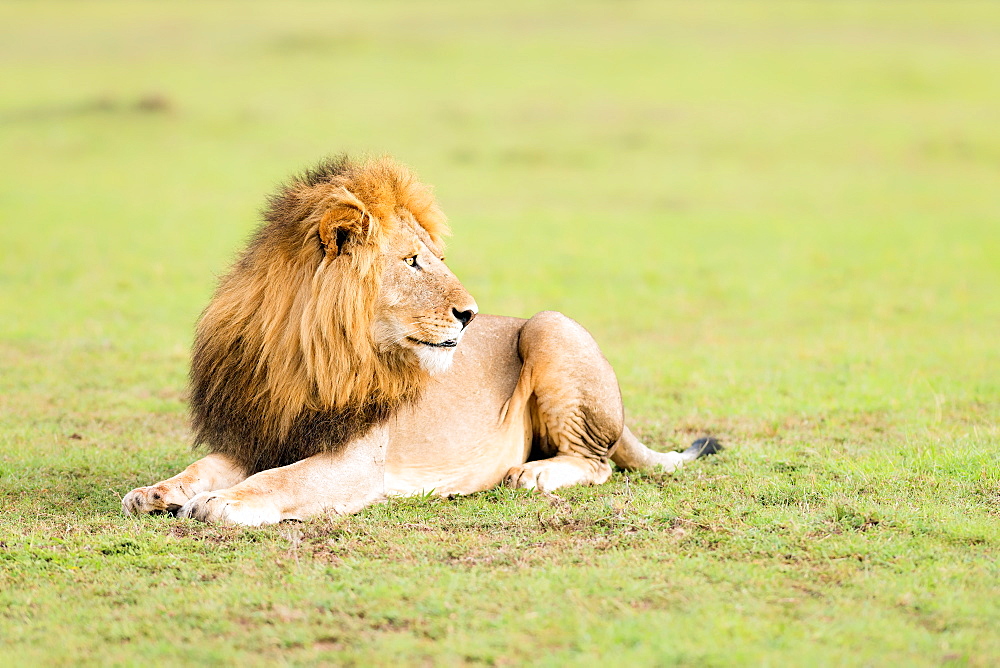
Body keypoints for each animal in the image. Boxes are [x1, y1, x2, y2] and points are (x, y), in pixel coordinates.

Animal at [123, 157, 720, 528]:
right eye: (412, 261)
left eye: (435, 258)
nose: (470, 314)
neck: (309, 354)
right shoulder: (261, 430)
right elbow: (205, 466)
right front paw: (158, 492)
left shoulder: (355, 461)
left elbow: (280, 479)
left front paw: (220, 502)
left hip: (551, 326)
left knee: (597, 463)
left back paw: (532, 473)